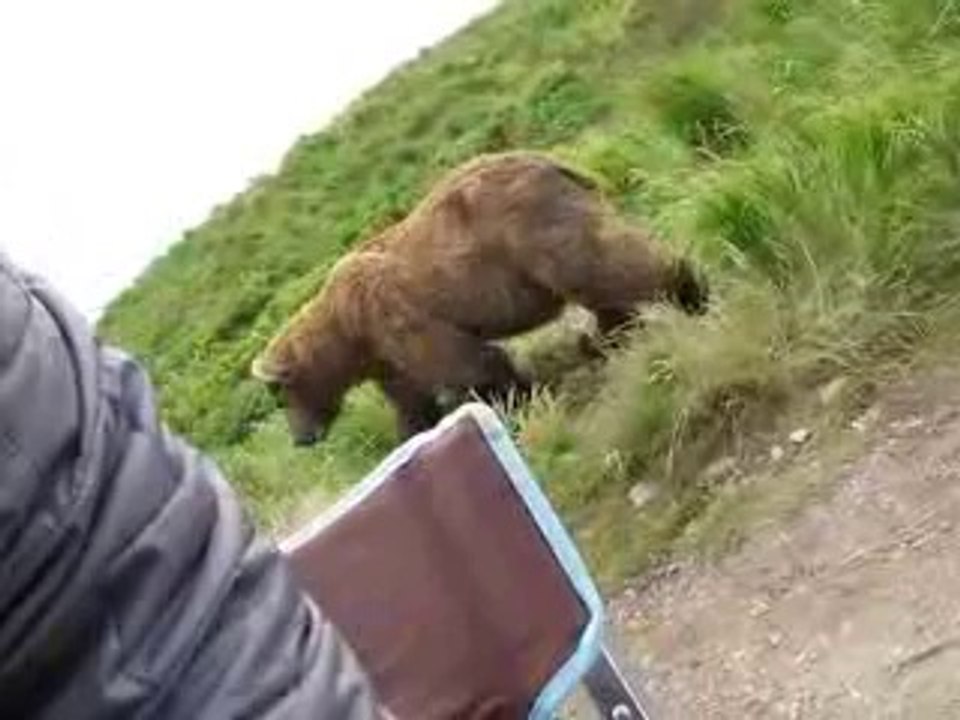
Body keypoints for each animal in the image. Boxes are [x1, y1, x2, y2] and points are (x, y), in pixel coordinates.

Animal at [251, 150, 709, 446]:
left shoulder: (394, 315)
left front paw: (514, 400)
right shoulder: (385, 352)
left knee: (597, 265)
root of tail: (554, 161)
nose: (302, 438)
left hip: (528, 224)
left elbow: (463, 362)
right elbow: (409, 399)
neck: (348, 335)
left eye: (280, 396)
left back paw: (688, 290)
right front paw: (412, 433)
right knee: (596, 287)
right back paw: (607, 338)